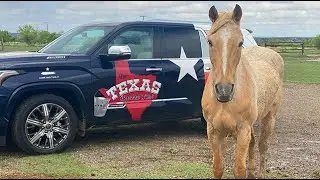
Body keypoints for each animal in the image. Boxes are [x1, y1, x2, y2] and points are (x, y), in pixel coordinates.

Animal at [201, 3, 284, 179]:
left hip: (269, 117)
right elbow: (218, 167)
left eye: (240, 42)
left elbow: (239, 169)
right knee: (253, 144)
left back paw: (260, 173)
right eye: (210, 42)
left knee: (262, 146)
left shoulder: (242, 131)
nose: (223, 90)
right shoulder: (213, 131)